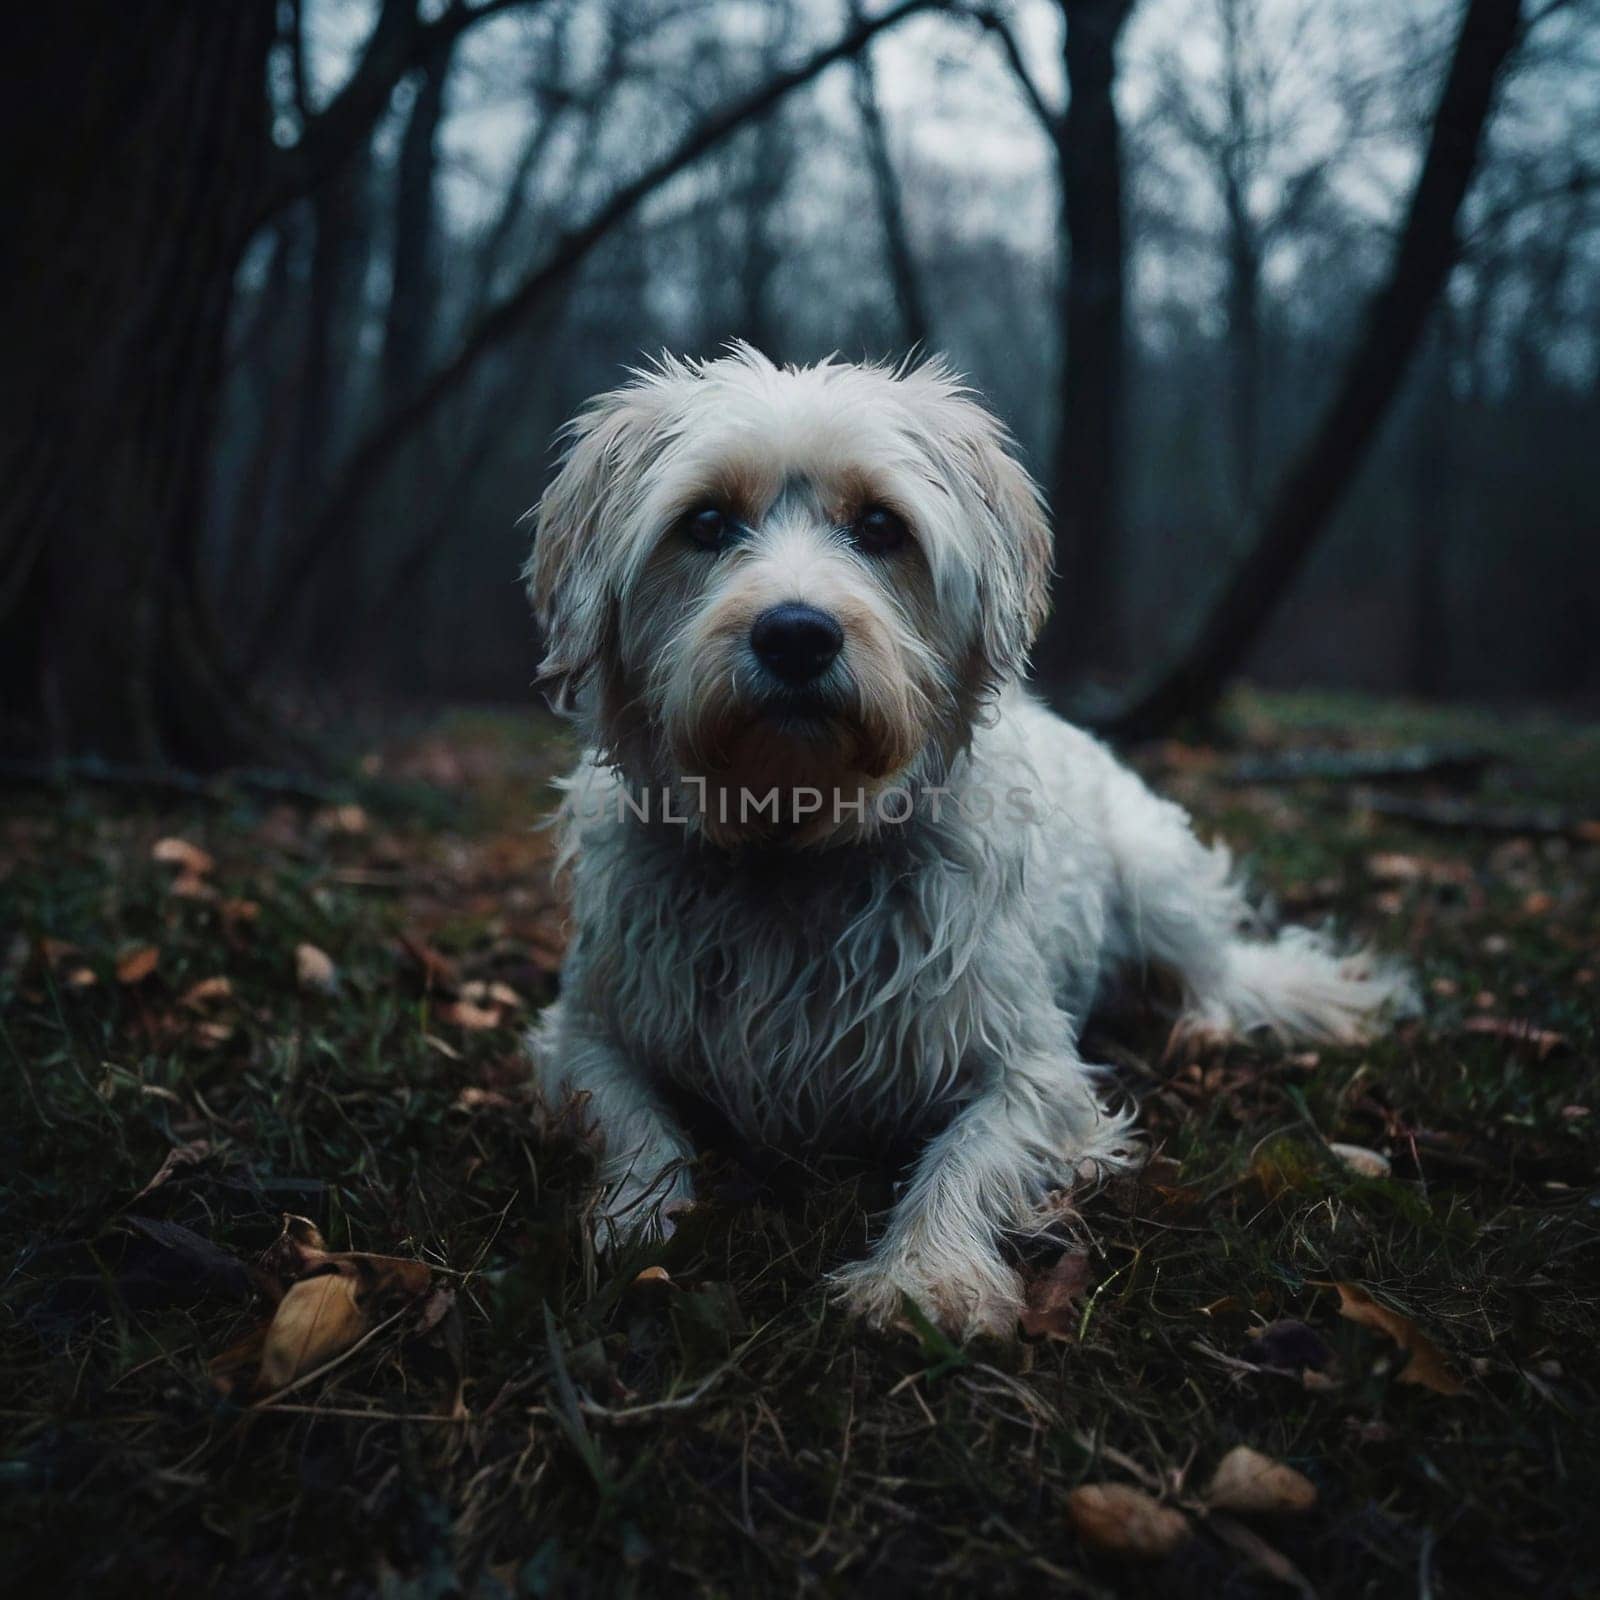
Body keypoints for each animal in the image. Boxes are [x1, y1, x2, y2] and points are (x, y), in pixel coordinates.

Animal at [521, 347, 1401, 1337]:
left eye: (880, 524)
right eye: (704, 522)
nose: (796, 635)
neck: (794, 839)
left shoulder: (1031, 1067)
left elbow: (967, 1156)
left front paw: (924, 1273)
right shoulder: (583, 1029)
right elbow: (632, 1122)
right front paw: (632, 1222)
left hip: (1157, 882)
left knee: (1211, 971)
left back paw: (1202, 1021)